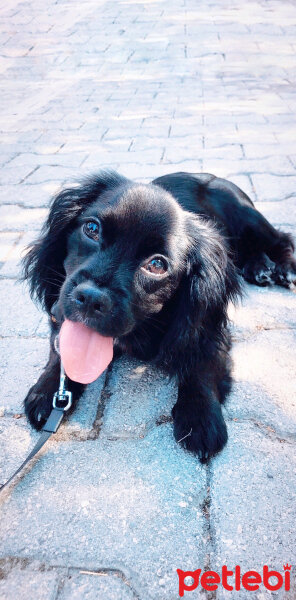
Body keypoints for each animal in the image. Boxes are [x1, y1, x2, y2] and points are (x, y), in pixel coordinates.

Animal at [23, 171, 296, 462]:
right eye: (92, 229)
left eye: (156, 265)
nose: (91, 298)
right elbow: (60, 351)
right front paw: (48, 390)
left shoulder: (207, 328)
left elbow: (201, 366)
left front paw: (200, 416)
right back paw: (259, 267)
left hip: (249, 220)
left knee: (282, 239)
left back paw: (284, 269)